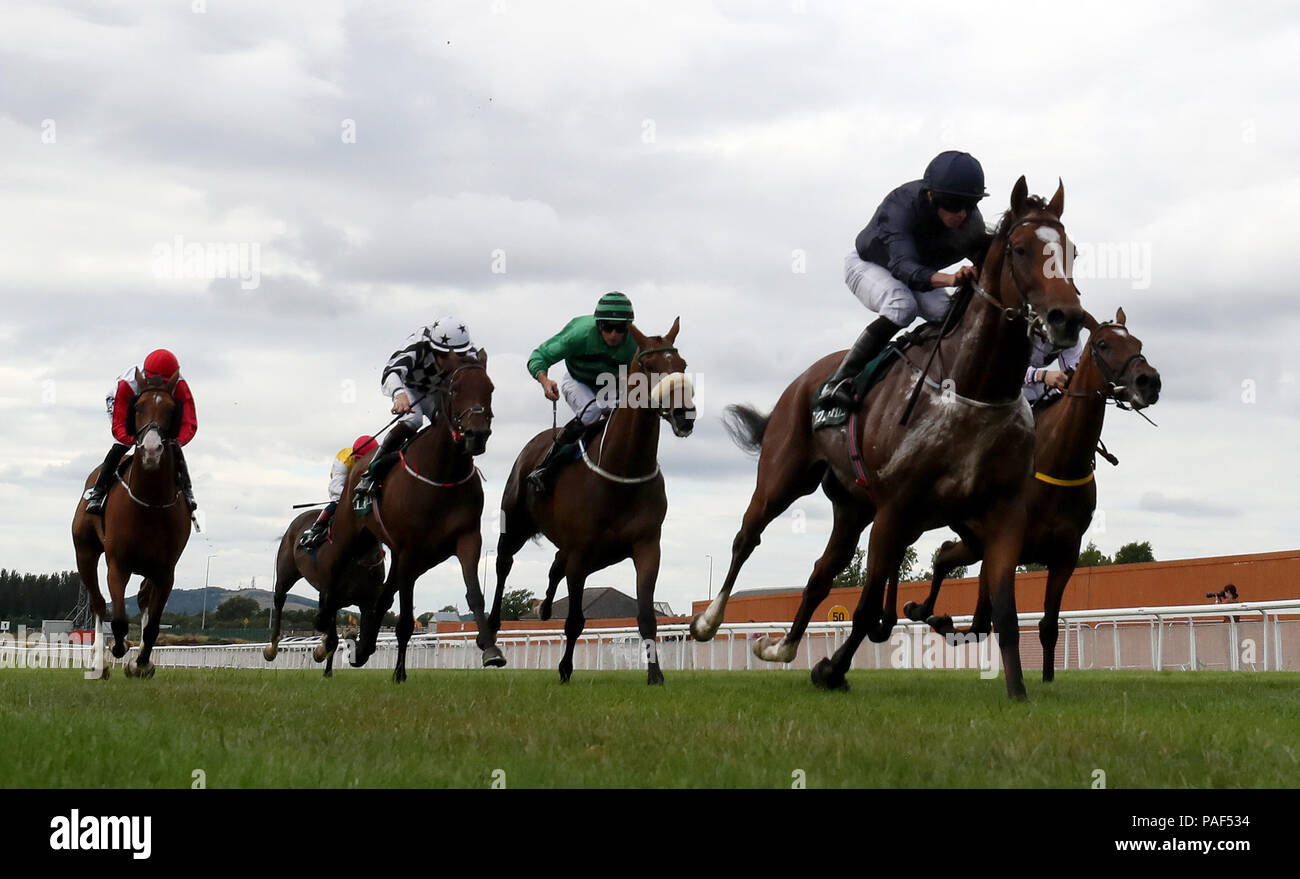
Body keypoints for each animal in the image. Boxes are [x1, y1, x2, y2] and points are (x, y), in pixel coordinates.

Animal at [71, 371, 191, 681]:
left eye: (171, 409)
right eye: (137, 407)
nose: (150, 449)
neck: (149, 504)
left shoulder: (166, 571)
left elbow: (152, 626)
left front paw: (142, 662)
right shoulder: (118, 564)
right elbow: (119, 620)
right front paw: (118, 647)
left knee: (144, 598)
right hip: (85, 552)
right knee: (98, 603)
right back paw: (99, 662)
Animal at [488, 319, 696, 681]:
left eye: (682, 366)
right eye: (650, 367)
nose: (685, 414)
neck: (621, 469)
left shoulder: (646, 546)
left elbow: (647, 616)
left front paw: (655, 675)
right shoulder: (582, 551)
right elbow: (574, 620)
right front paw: (565, 668)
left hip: (603, 553)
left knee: (556, 563)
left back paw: (543, 609)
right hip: (514, 525)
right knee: (503, 565)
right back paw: (491, 634)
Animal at [702, 178, 1086, 702]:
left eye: (1071, 251)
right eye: (1022, 249)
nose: (1068, 318)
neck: (973, 386)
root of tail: (805, 380)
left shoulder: (1003, 511)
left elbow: (1005, 612)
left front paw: (1019, 692)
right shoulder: (896, 508)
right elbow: (865, 608)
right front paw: (830, 669)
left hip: (852, 507)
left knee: (821, 572)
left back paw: (781, 647)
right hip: (784, 478)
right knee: (748, 537)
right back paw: (708, 620)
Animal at [904, 305, 1170, 681]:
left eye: (1138, 343)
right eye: (1103, 344)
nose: (1149, 381)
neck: (1057, 461)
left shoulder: (1065, 556)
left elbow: (1047, 626)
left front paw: (1047, 680)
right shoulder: (1008, 545)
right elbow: (995, 620)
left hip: (975, 542)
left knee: (945, 557)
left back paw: (927, 611)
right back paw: (922, 609)